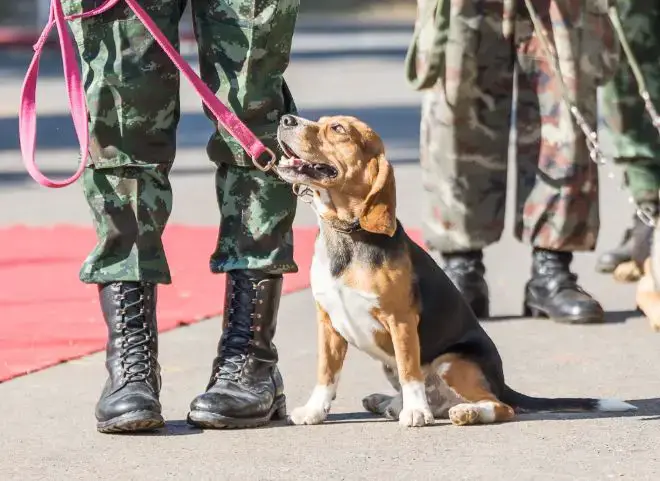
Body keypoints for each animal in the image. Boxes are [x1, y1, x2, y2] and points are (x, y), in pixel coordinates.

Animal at [276, 114, 636, 426]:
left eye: (337, 129)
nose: (286, 119)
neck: (347, 235)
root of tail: (500, 381)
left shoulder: (400, 320)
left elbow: (410, 370)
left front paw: (414, 413)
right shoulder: (328, 322)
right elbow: (327, 373)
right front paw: (314, 410)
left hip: (454, 362)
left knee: (499, 406)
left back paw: (462, 411)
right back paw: (391, 403)